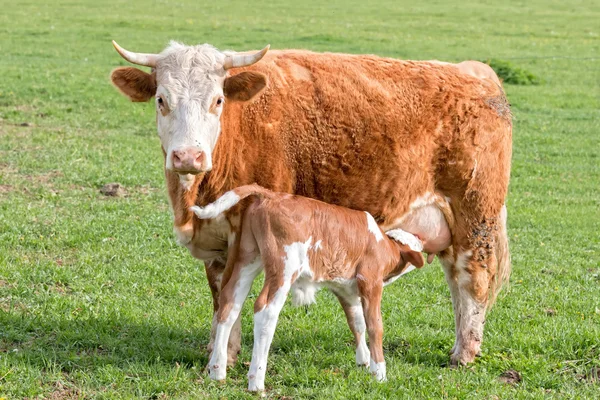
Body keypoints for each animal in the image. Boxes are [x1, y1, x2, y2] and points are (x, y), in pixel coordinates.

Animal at [189, 183, 426, 390]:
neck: (382, 243)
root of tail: (271, 195)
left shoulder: (345, 289)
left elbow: (356, 322)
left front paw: (364, 360)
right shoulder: (370, 282)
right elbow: (375, 326)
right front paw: (379, 373)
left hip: (247, 258)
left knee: (229, 304)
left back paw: (217, 371)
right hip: (284, 267)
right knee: (265, 311)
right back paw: (256, 382)